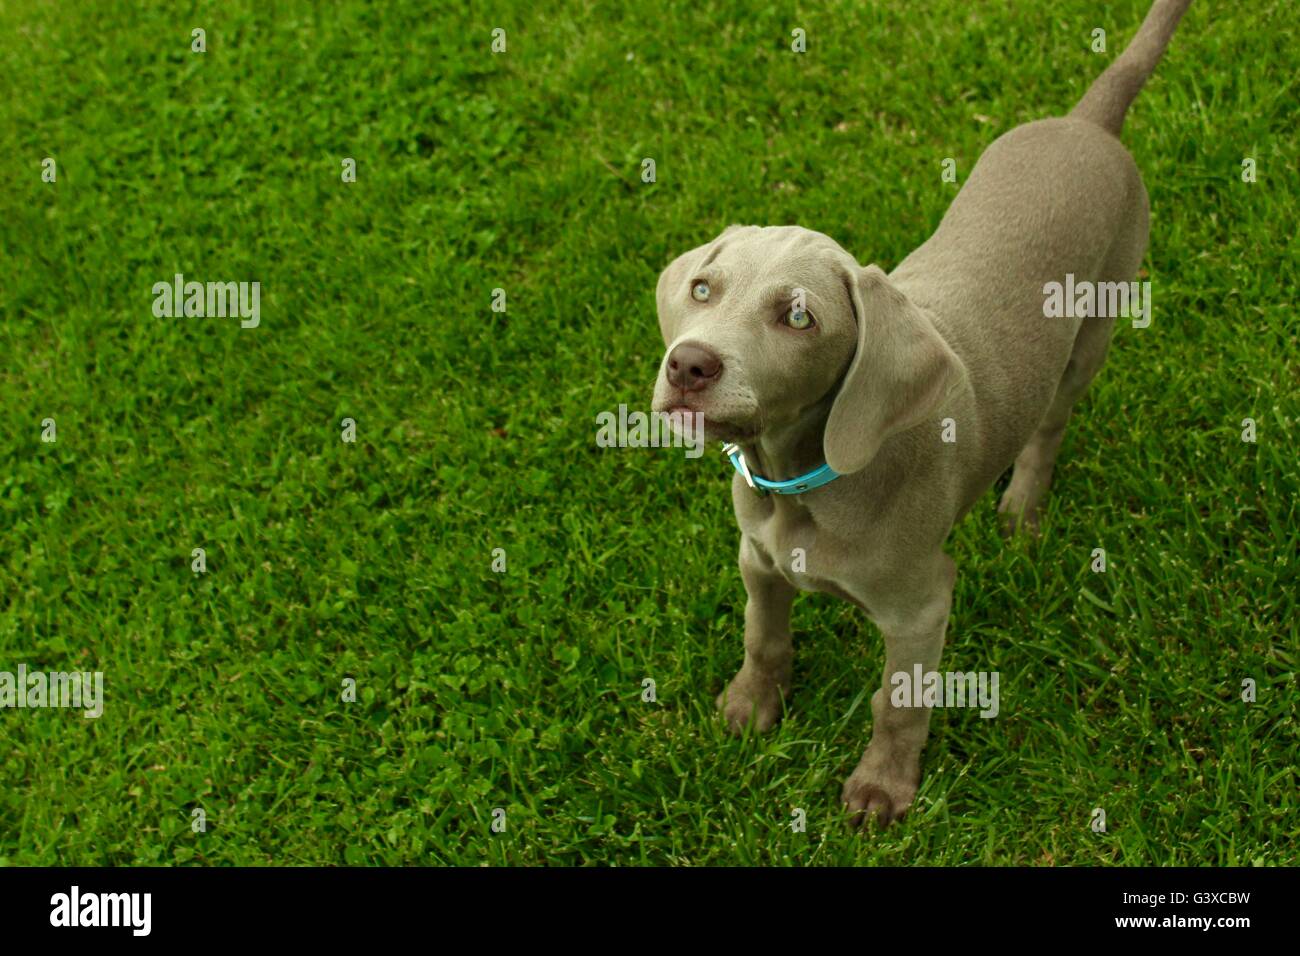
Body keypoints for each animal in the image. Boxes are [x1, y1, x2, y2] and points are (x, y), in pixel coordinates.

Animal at [647, 0, 1190, 827]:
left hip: (1096, 324)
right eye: (703, 289)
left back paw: (1023, 508)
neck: (803, 483)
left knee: (1051, 422)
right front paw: (751, 707)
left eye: (799, 317)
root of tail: (1086, 123)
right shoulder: (757, 559)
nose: (688, 364)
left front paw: (883, 788)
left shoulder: (921, 607)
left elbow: (898, 704)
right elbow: (763, 637)